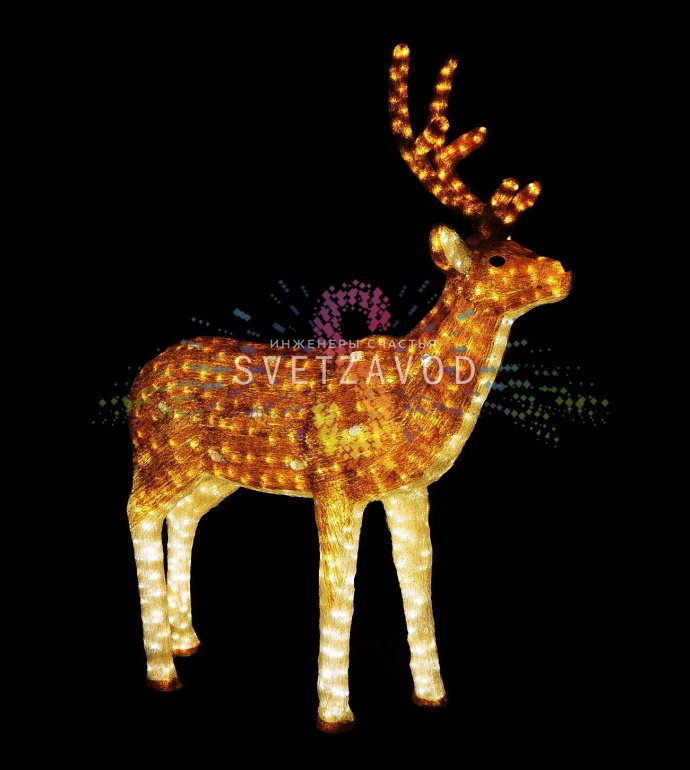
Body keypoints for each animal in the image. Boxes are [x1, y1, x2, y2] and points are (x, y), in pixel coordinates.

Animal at [127, 43, 571, 733]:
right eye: (498, 258)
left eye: (521, 240)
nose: (562, 273)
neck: (411, 394)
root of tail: (139, 382)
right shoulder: (335, 482)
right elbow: (339, 590)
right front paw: (335, 711)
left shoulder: (409, 487)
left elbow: (419, 583)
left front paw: (432, 693)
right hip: (161, 455)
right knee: (139, 512)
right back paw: (161, 668)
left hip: (214, 471)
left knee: (185, 516)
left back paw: (186, 639)